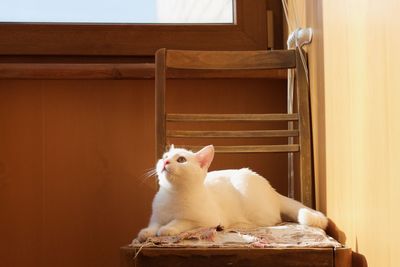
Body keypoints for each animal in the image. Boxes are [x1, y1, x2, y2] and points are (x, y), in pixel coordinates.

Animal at [138, 147, 328, 243]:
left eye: (181, 160)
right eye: (165, 156)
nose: (165, 161)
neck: (173, 194)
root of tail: (272, 190)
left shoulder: (206, 220)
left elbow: (182, 221)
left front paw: (168, 228)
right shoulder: (156, 217)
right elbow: (154, 225)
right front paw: (146, 232)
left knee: (270, 220)